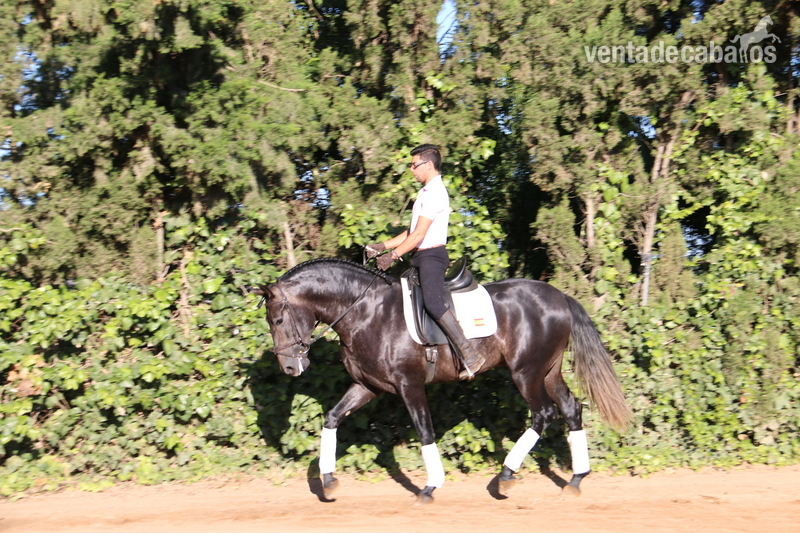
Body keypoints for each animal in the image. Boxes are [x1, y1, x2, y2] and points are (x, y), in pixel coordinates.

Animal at [255, 258, 631, 504]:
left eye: (277, 319)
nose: (289, 368)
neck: (365, 312)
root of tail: (560, 297)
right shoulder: (368, 386)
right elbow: (332, 418)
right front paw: (329, 481)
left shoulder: (409, 385)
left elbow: (425, 432)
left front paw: (430, 487)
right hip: (548, 370)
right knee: (571, 409)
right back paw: (576, 479)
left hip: (526, 372)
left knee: (544, 414)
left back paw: (505, 477)